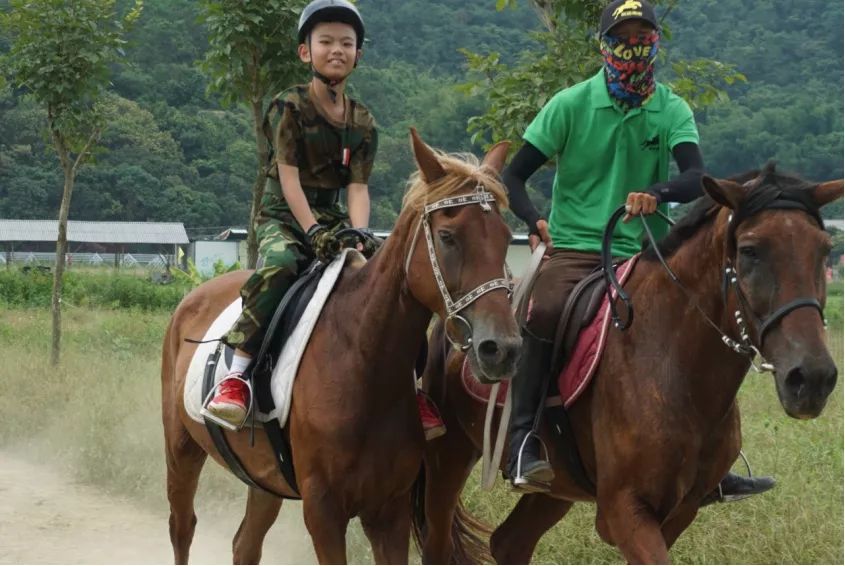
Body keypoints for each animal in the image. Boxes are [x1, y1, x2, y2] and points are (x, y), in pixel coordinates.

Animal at [160, 130, 520, 566]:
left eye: (505, 239)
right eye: (448, 237)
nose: (501, 348)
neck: (363, 364)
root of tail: (192, 298)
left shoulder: (389, 512)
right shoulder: (323, 511)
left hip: (264, 480)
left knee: (245, 544)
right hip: (181, 448)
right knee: (182, 527)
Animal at [416, 164, 844, 564]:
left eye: (824, 250)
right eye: (751, 250)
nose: (812, 378)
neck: (675, 364)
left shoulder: (681, 511)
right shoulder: (625, 509)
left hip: (555, 488)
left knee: (509, 542)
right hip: (448, 460)